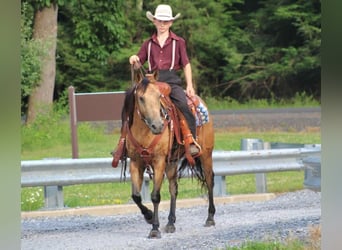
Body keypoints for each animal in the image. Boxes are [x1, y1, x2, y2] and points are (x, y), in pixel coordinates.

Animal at [111, 69, 215, 237]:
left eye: (159, 96)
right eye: (141, 98)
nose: (158, 126)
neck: (144, 132)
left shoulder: (159, 162)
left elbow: (155, 196)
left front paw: (154, 228)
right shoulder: (136, 163)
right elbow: (136, 195)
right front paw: (148, 216)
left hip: (205, 155)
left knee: (210, 181)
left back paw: (210, 217)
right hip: (172, 162)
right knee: (174, 188)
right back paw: (171, 223)